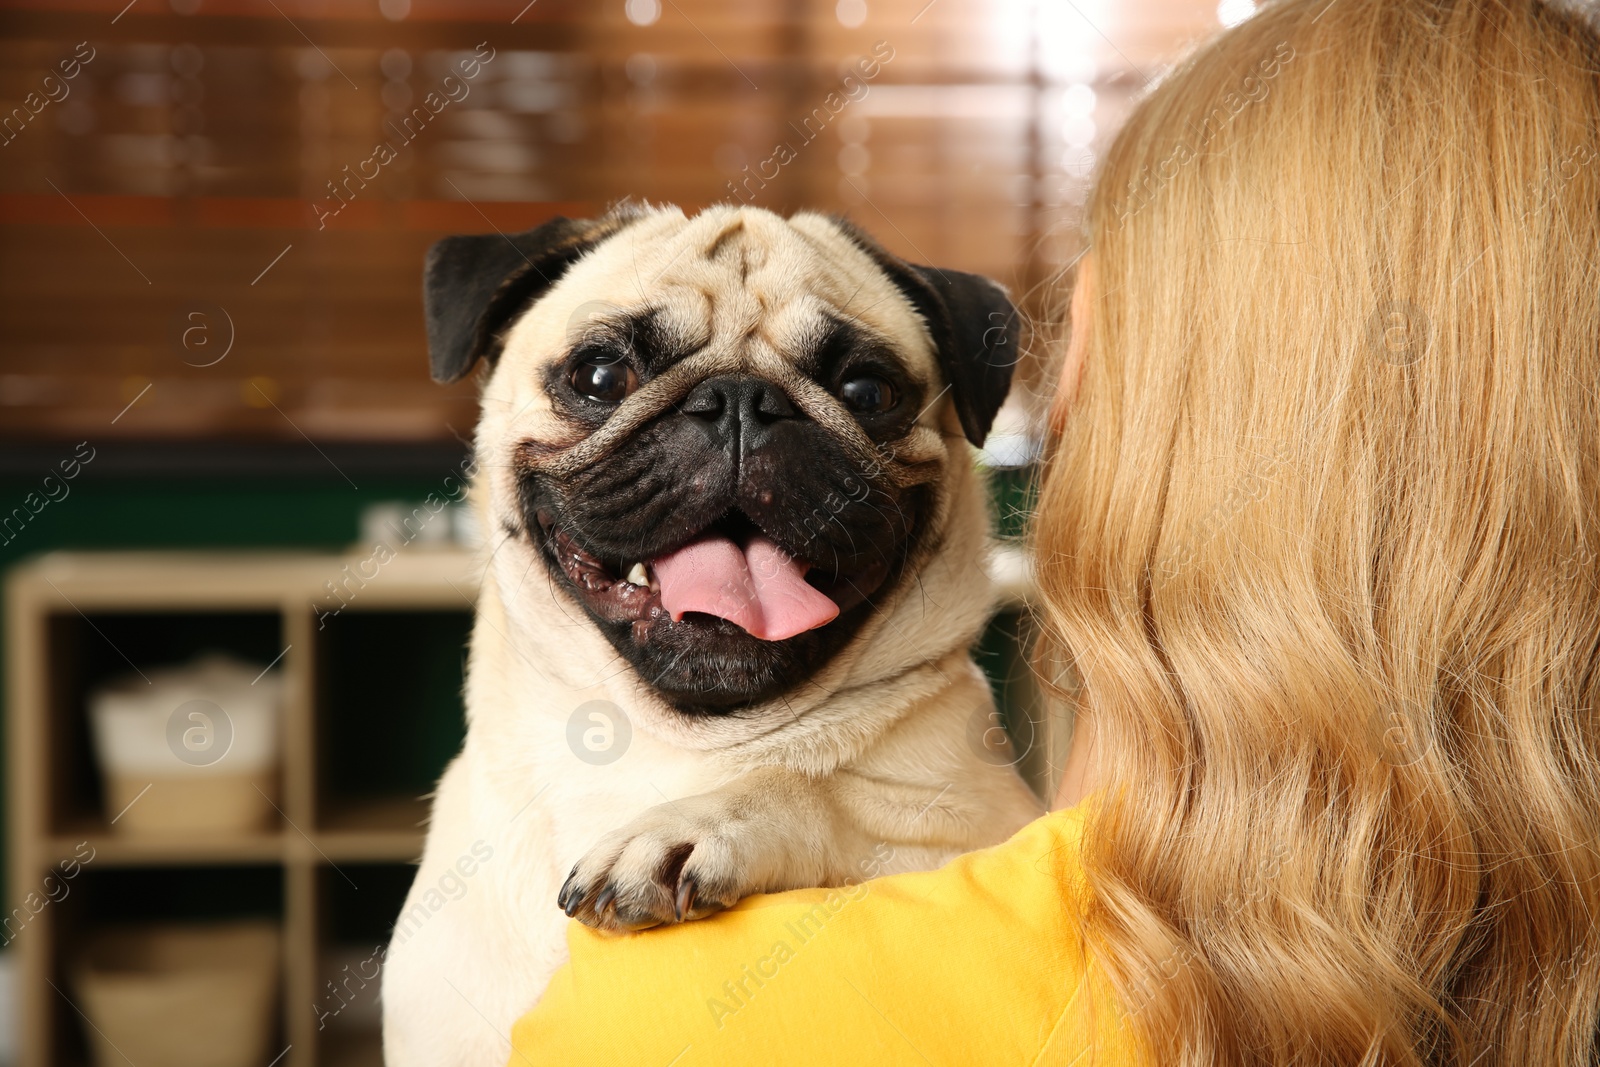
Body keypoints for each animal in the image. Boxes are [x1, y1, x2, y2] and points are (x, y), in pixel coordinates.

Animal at [380, 202, 1043, 1067]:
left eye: (867, 389)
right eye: (600, 377)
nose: (739, 400)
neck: (659, 744)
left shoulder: (987, 825)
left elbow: (820, 787)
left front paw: (691, 829)